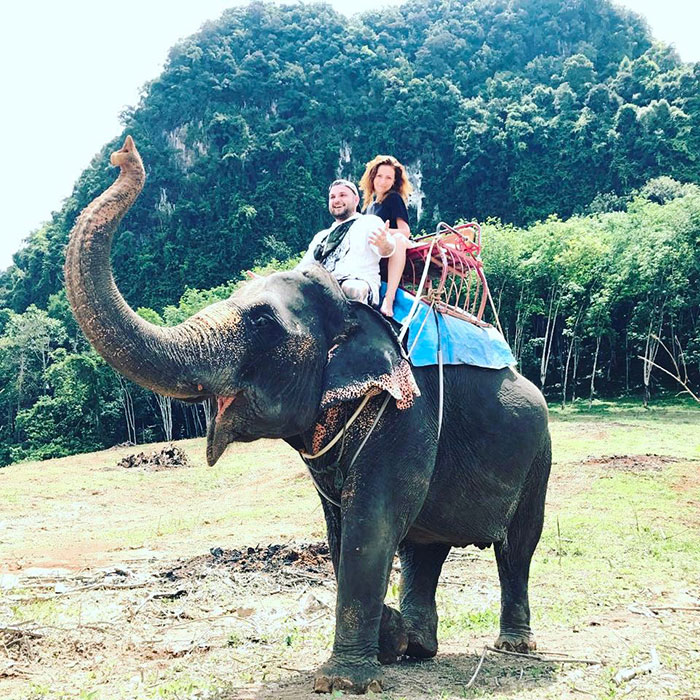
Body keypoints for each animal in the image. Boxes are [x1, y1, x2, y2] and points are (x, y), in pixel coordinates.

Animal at [64, 136, 552, 694]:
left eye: (262, 322)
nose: (123, 154)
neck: (348, 308)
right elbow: (341, 529)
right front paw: (387, 641)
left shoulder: (406, 412)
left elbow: (372, 522)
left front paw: (342, 681)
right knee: (423, 548)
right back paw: (419, 649)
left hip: (539, 454)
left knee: (517, 547)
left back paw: (512, 646)